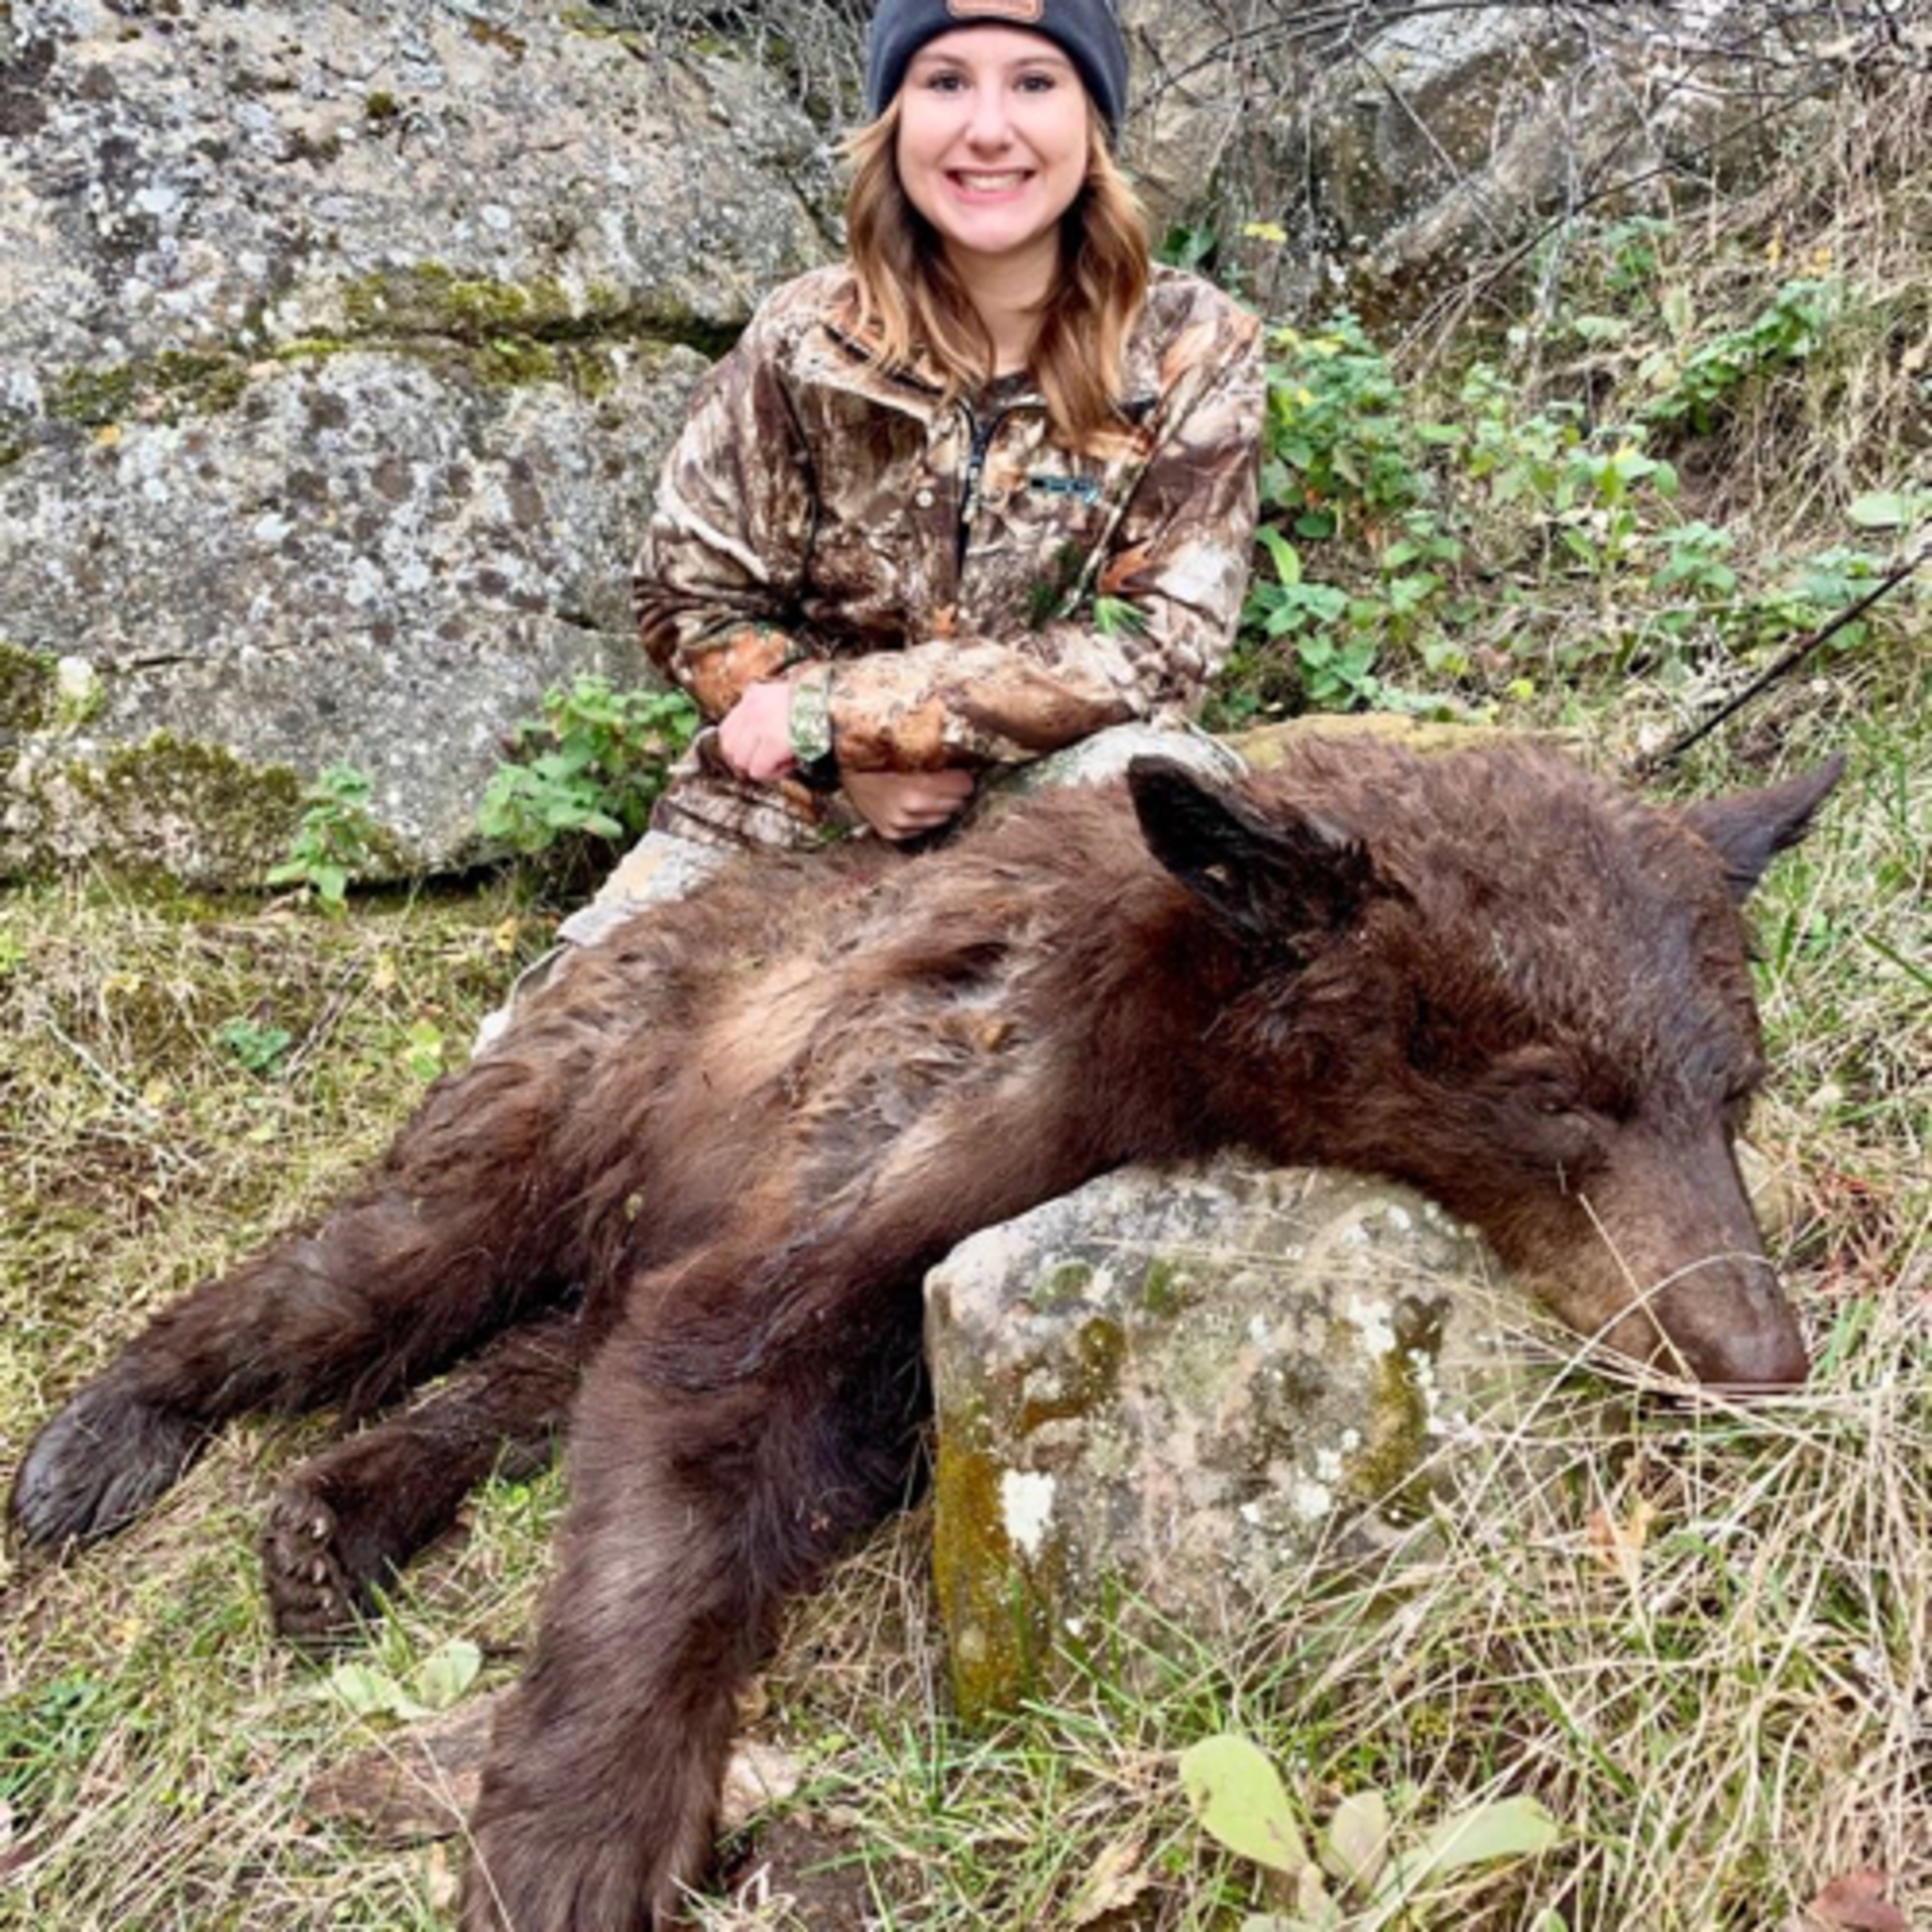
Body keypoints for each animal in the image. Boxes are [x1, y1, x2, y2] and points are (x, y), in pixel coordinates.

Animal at [9, 735, 1842, 1929]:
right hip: (572, 1094)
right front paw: (575, 1846)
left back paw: (341, 1518)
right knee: (374, 1271)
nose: (1754, 1351)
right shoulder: (890, 1129)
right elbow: (693, 1428)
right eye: (1553, 1091)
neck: (1146, 1040)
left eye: (1732, 1088)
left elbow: (765, 1425)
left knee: (533, 1369)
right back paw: (104, 1441)